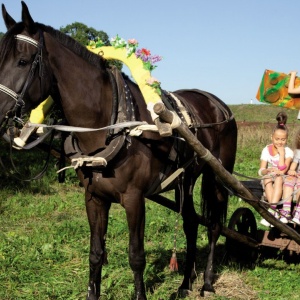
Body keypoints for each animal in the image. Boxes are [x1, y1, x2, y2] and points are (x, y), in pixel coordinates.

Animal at [0, 1, 237, 298]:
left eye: (22, 61)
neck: (111, 126)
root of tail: (218, 104)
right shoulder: (94, 198)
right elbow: (95, 253)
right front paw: (92, 292)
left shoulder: (134, 199)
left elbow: (136, 255)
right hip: (186, 180)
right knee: (191, 223)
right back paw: (184, 284)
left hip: (218, 176)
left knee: (215, 225)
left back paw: (206, 281)